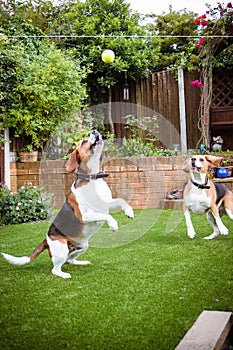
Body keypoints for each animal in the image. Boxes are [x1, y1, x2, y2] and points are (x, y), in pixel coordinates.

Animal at [1, 130, 134, 278]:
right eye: (83, 141)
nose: (94, 131)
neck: (92, 179)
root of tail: (46, 239)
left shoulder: (107, 204)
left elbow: (121, 201)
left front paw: (129, 212)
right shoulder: (85, 216)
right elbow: (107, 216)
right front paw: (113, 225)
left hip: (82, 246)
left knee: (69, 260)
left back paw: (81, 262)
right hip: (61, 248)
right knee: (56, 268)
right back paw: (63, 274)